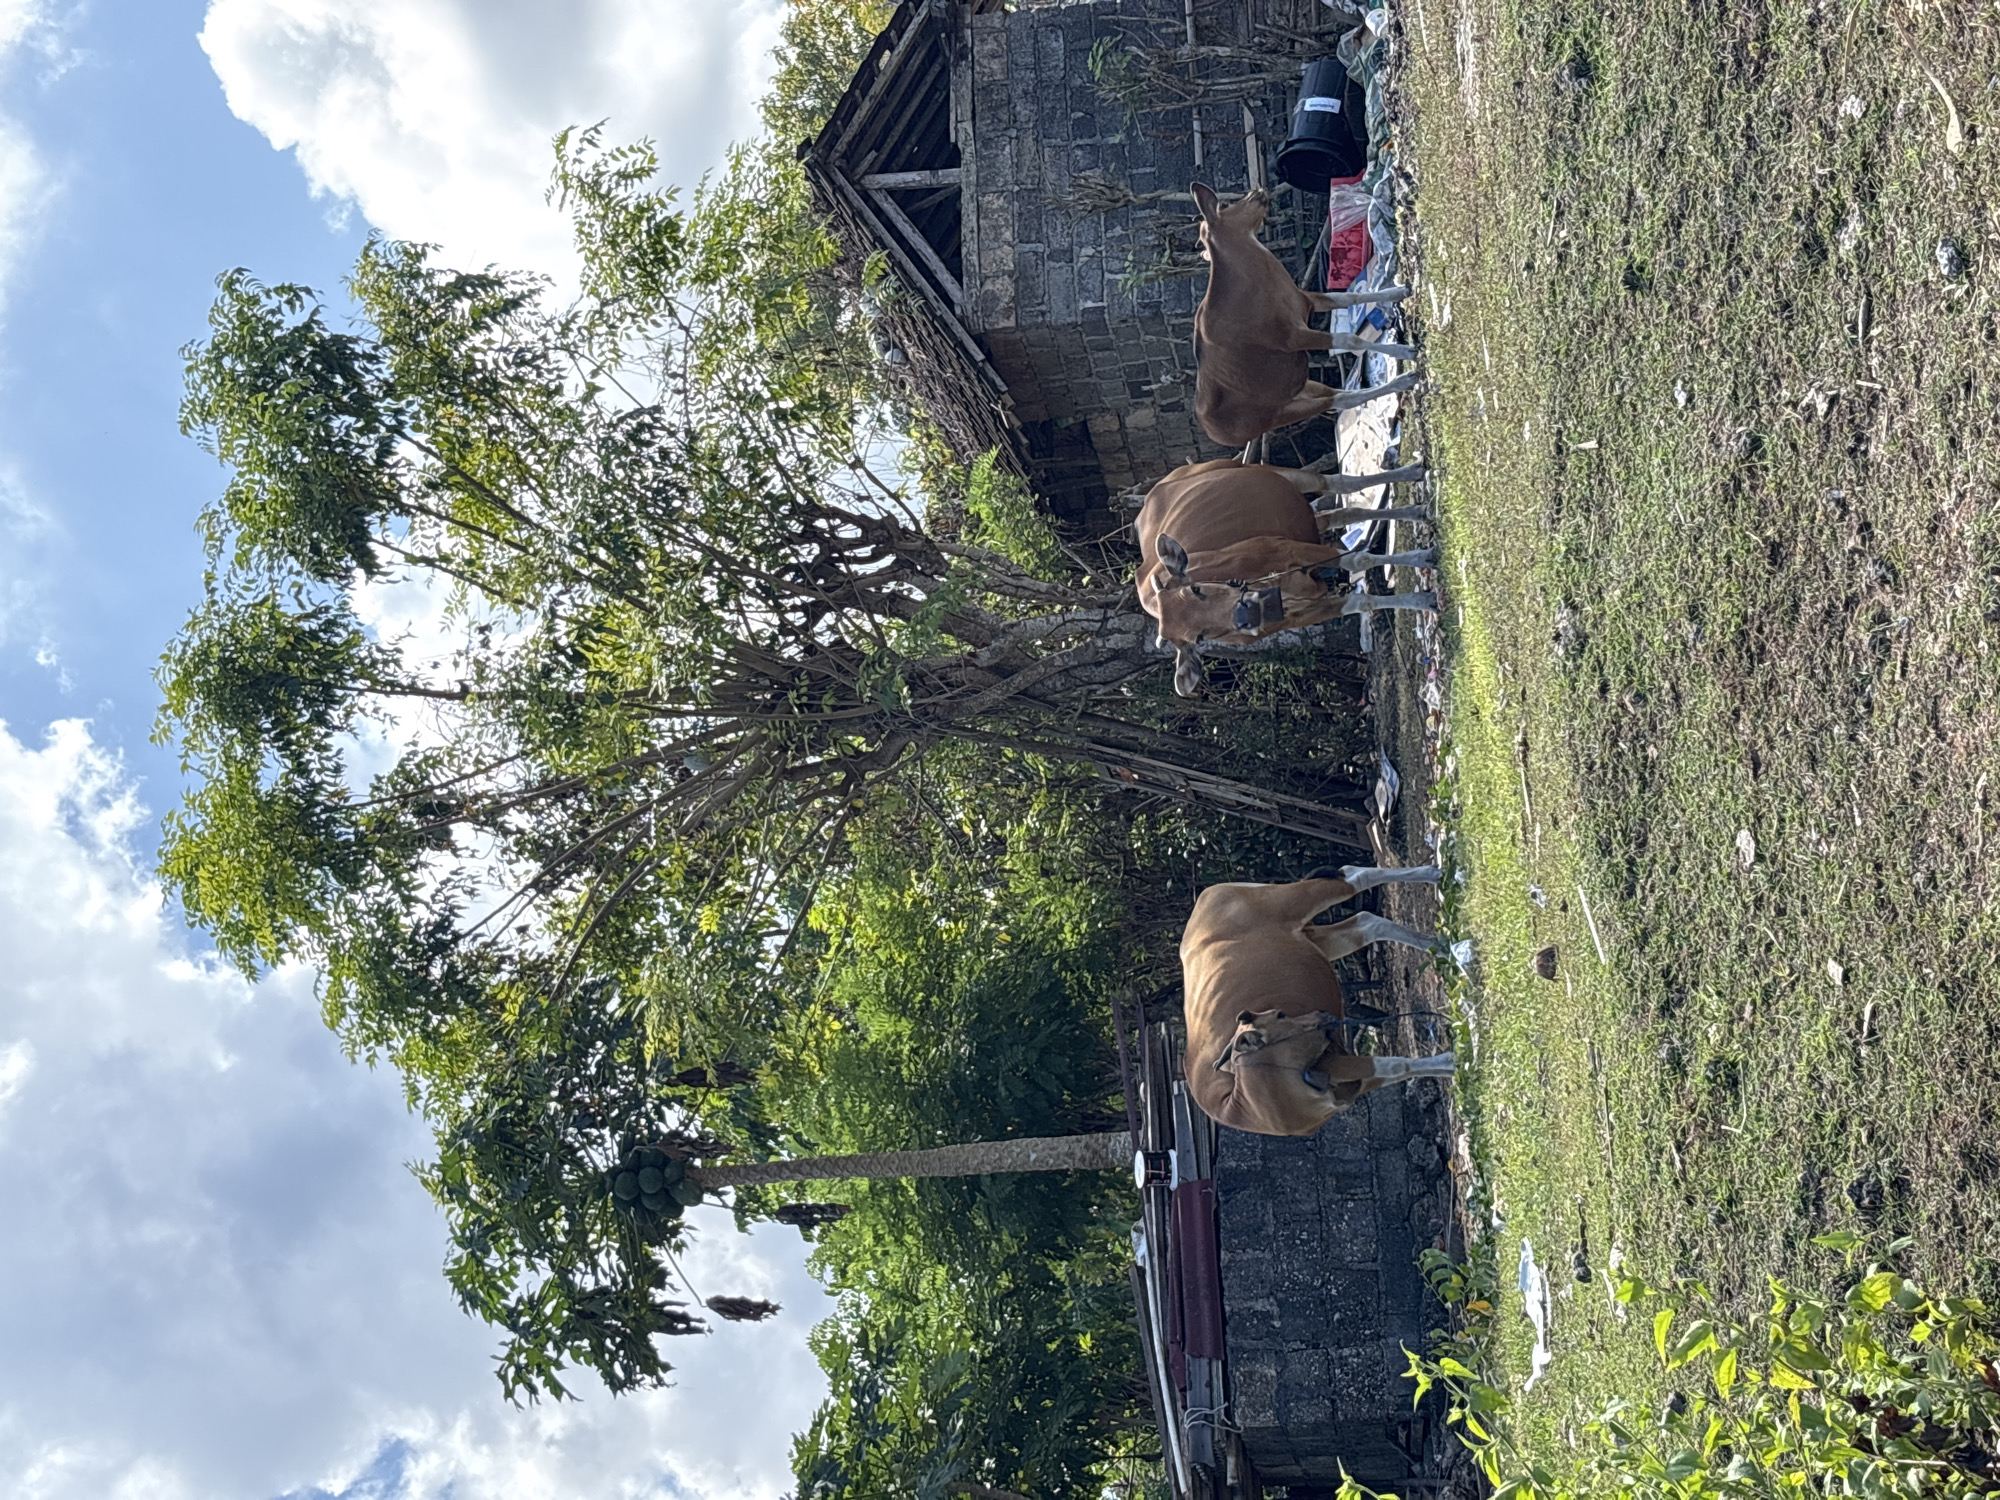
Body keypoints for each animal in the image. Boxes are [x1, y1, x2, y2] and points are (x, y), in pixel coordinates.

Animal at [1135, 457, 1437, 696]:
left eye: (1196, 589)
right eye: (1199, 638)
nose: (1245, 615)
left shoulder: (1294, 549)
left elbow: (1359, 559)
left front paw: (1424, 560)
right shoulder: (1303, 615)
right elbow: (1363, 602)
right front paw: (1423, 600)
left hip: (1273, 473)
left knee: (1339, 484)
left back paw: (1413, 484)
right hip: (1307, 520)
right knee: (1342, 512)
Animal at [1181, 866, 1456, 1137]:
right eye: (1280, 1015)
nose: (1324, 1016)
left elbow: (1394, 1066)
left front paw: (1452, 1061)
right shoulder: (1344, 1076)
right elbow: (1399, 1067)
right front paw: (1450, 1064)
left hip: (1292, 902)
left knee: (1353, 878)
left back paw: (1434, 875)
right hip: (1318, 940)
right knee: (1367, 922)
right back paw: (1439, 944)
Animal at [1190, 181, 1417, 448]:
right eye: (1225, 204)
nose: (1258, 191)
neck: (1252, 284)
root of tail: (1211, 428)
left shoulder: (1306, 301)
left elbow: (1351, 297)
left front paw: (1401, 289)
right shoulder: (1293, 337)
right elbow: (1350, 339)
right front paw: (1404, 351)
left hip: (1302, 388)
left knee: (1338, 394)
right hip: (1280, 414)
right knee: (1340, 400)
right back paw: (1405, 380)